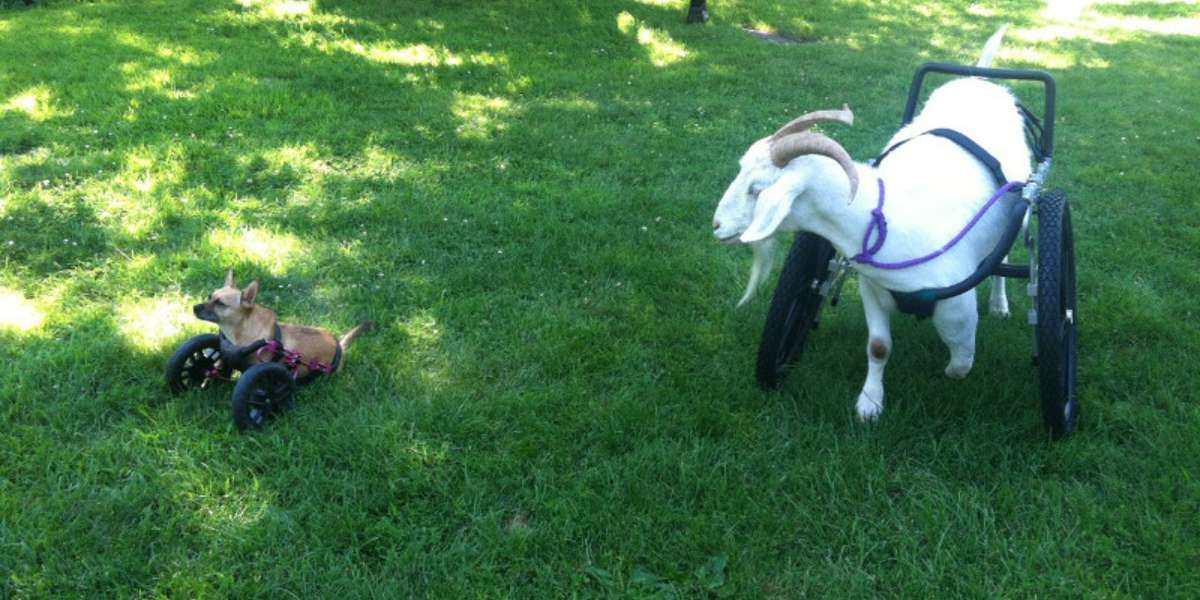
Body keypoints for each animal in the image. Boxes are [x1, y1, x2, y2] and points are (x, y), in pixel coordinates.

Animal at [711, 26, 1031, 420]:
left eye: (758, 189)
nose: (717, 225)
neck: (884, 218)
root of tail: (980, 79)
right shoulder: (872, 289)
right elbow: (879, 346)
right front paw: (869, 404)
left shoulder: (957, 308)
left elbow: (961, 360)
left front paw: (949, 376)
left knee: (1005, 257)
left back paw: (1000, 305)